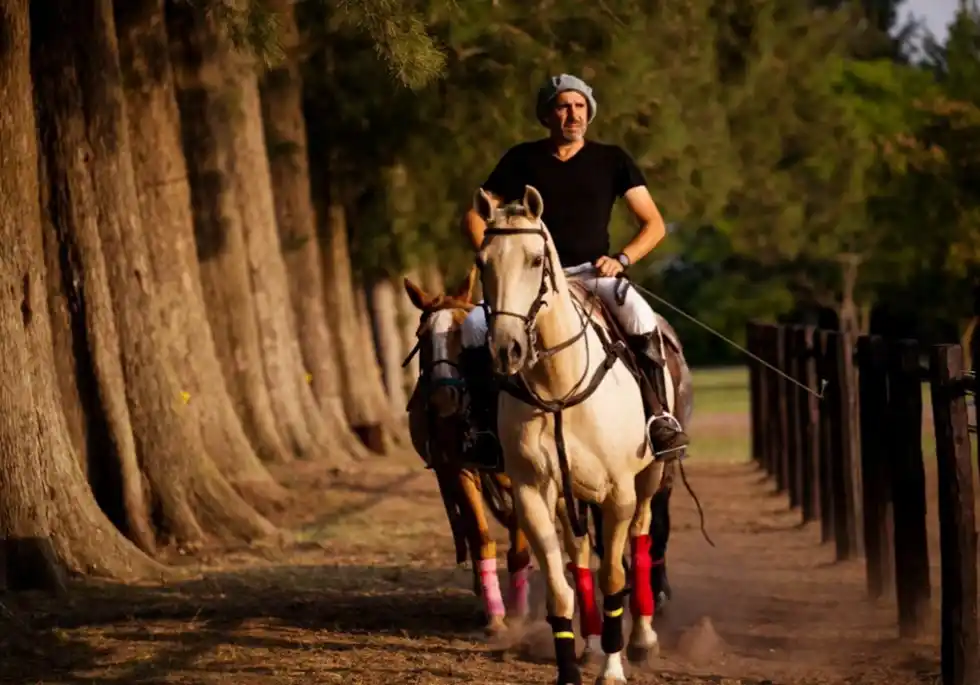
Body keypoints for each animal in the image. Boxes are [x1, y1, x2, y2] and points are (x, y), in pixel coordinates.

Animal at [472, 183, 688, 684]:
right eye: (482, 260)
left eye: (536, 259)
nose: (507, 349)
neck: (558, 386)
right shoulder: (533, 493)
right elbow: (561, 586)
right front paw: (572, 666)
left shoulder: (619, 493)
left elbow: (615, 577)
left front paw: (612, 667)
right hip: (571, 495)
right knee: (579, 555)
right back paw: (590, 642)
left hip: (647, 480)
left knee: (641, 542)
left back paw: (641, 638)